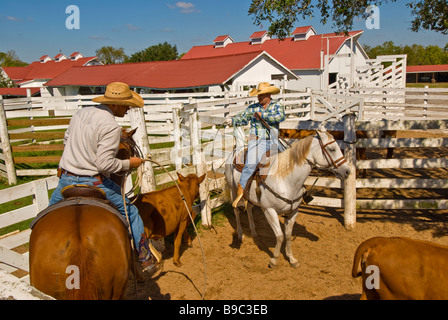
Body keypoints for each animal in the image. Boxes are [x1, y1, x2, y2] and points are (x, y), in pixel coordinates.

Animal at [226, 127, 352, 268]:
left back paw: (253, 233)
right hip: (233, 190)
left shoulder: (293, 212)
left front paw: (292, 259)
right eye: (332, 149)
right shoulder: (269, 211)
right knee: (237, 210)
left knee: (249, 209)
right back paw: (240, 234)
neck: (286, 180)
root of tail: (237, 150)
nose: (347, 171)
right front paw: (274, 260)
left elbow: (287, 235)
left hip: (250, 196)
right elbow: (280, 236)